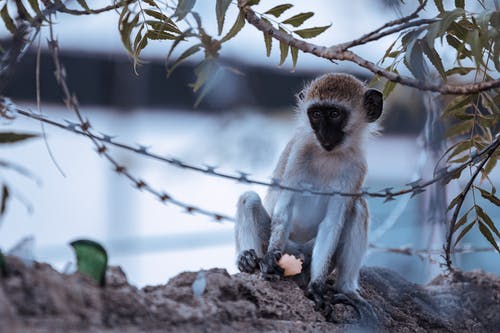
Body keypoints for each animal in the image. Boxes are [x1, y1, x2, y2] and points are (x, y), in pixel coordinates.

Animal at [234, 72, 382, 322]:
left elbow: (332, 224)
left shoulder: (357, 167)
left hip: (310, 257)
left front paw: (317, 288)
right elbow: (283, 211)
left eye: (334, 114)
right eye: (316, 114)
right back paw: (248, 259)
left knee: (358, 207)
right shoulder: (299, 153)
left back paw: (346, 289)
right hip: (289, 249)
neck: (328, 155)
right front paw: (270, 259)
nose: (323, 133)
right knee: (249, 199)